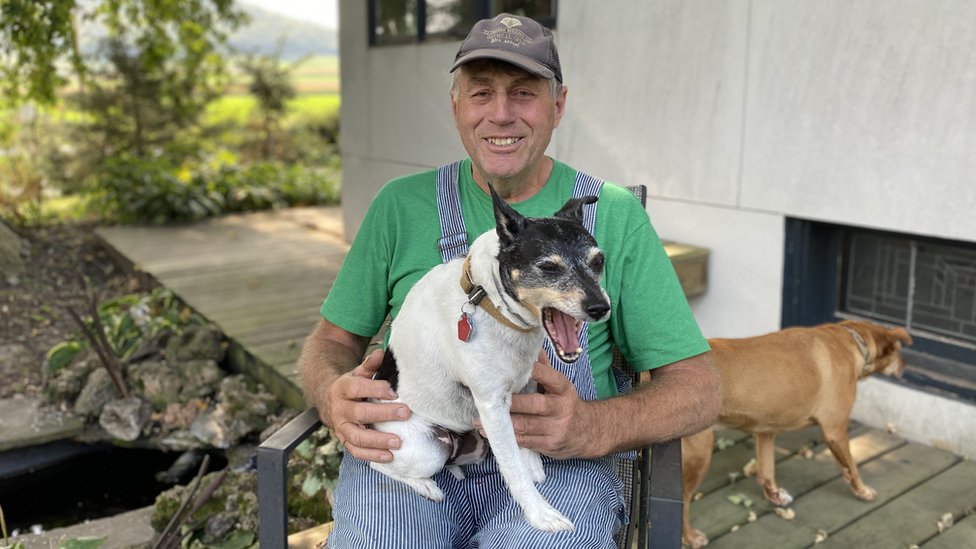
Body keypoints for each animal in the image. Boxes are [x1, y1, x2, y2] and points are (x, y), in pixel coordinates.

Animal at [372, 184, 608, 532]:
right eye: (548, 267)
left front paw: (533, 464)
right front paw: (540, 513)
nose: (600, 308)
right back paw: (425, 485)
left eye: (599, 261)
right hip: (426, 448)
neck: (490, 302)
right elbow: (513, 470)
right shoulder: (492, 406)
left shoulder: (525, 385)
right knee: (381, 464)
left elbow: (525, 442)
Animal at [684, 318, 912, 544]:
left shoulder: (765, 431)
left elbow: (767, 470)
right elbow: (852, 467)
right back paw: (690, 537)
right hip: (699, 454)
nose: (905, 367)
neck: (852, 339)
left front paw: (775, 495)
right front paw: (862, 491)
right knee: (684, 501)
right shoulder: (836, 431)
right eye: (898, 352)